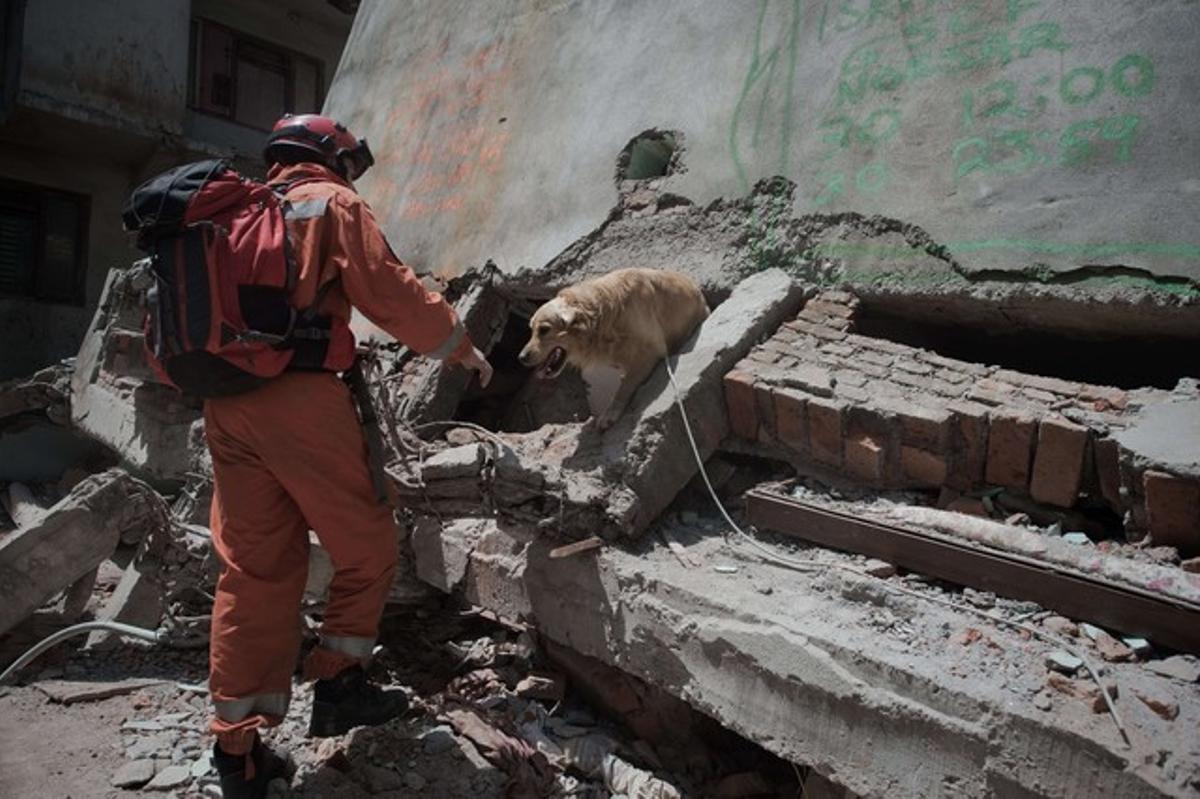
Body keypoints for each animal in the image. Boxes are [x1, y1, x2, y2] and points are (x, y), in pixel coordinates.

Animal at [518, 267, 705, 429]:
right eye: (531, 329)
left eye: (544, 330)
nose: (521, 357)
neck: (604, 317)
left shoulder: (651, 351)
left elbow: (624, 386)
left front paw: (609, 414)